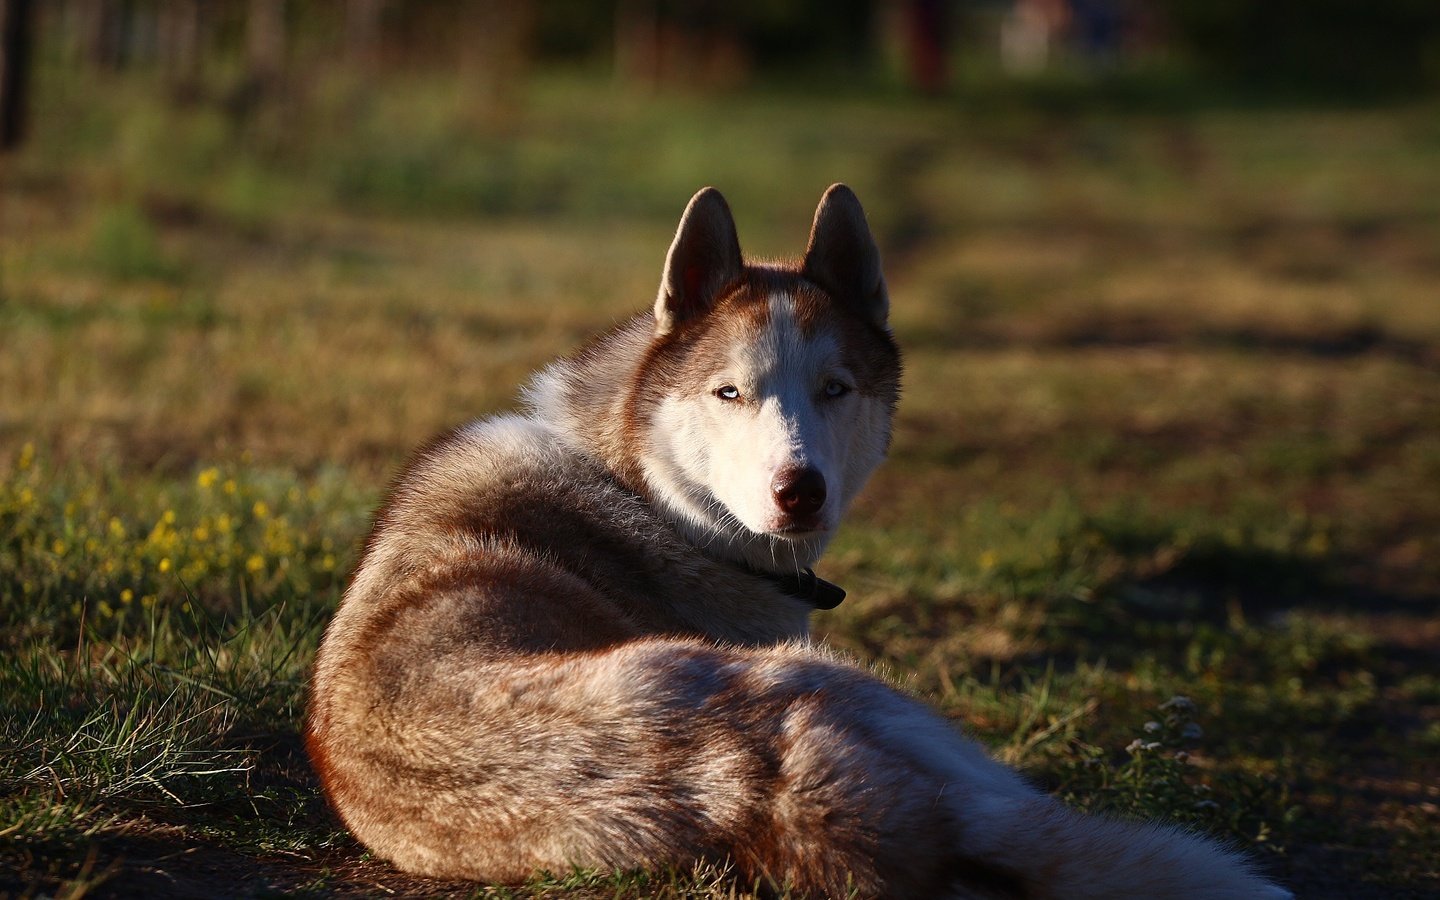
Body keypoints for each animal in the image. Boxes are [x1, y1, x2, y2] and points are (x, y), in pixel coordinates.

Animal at [306, 185, 1296, 892]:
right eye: (729, 392)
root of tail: (754, 790)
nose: (800, 491)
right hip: (869, 696)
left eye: (835, 388)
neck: (639, 486)